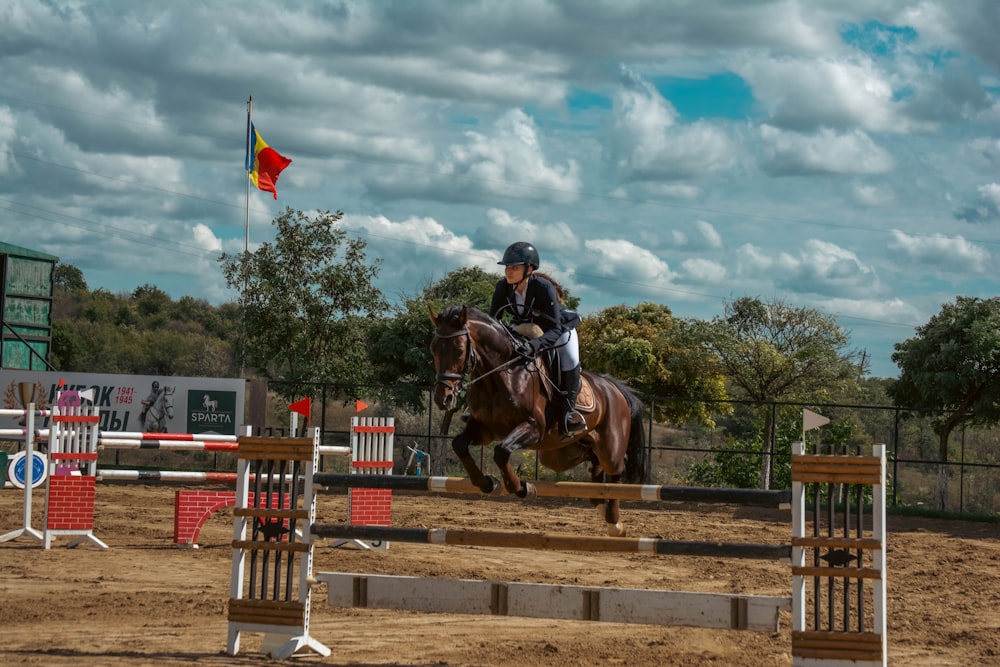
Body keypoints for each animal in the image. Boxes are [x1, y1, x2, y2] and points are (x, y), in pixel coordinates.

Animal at [426, 306, 644, 536]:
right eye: (433, 349)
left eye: (459, 350)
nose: (442, 398)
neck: (500, 374)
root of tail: (612, 386)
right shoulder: (484, 429)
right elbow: (459, 444)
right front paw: (487, 483)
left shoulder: (534, 427)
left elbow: (501, 451)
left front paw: (523, 488)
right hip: (562, 453)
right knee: (594, 465)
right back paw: (600, 503)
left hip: (609, 446)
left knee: (616, 471)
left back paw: (614, 522)